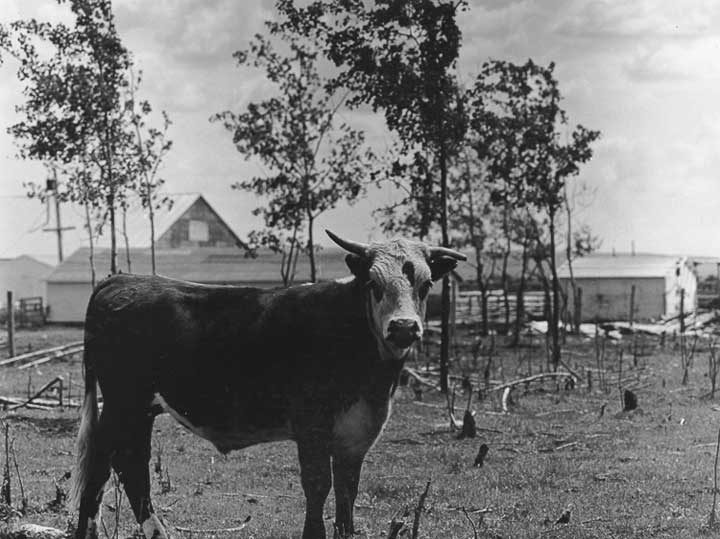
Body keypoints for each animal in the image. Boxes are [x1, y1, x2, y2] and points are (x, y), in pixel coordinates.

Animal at [70, 231, 465, 539]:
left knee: (116, 463)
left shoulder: (356, 434)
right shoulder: (311, 426)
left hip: (138, 408)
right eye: (373, 283)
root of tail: (120, 280)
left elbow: (347, 491)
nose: (403, 327)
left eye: (426, 284)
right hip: (125, 402)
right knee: (116, 463)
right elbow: (318, 485)